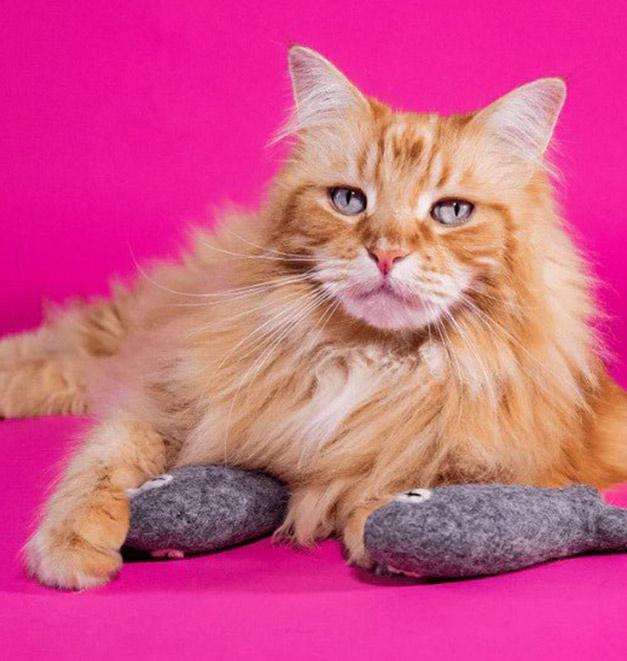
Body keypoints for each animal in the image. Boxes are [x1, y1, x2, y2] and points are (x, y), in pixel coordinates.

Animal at [3, 45, 627, 588]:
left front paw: (392, 527)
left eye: (452, 212)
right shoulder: (165, 397)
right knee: (60, 352)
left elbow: (416, 472)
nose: (386, 253)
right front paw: (72, 546)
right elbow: (101, 464)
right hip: (125, 330)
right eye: (349, 201)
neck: (369, 360)